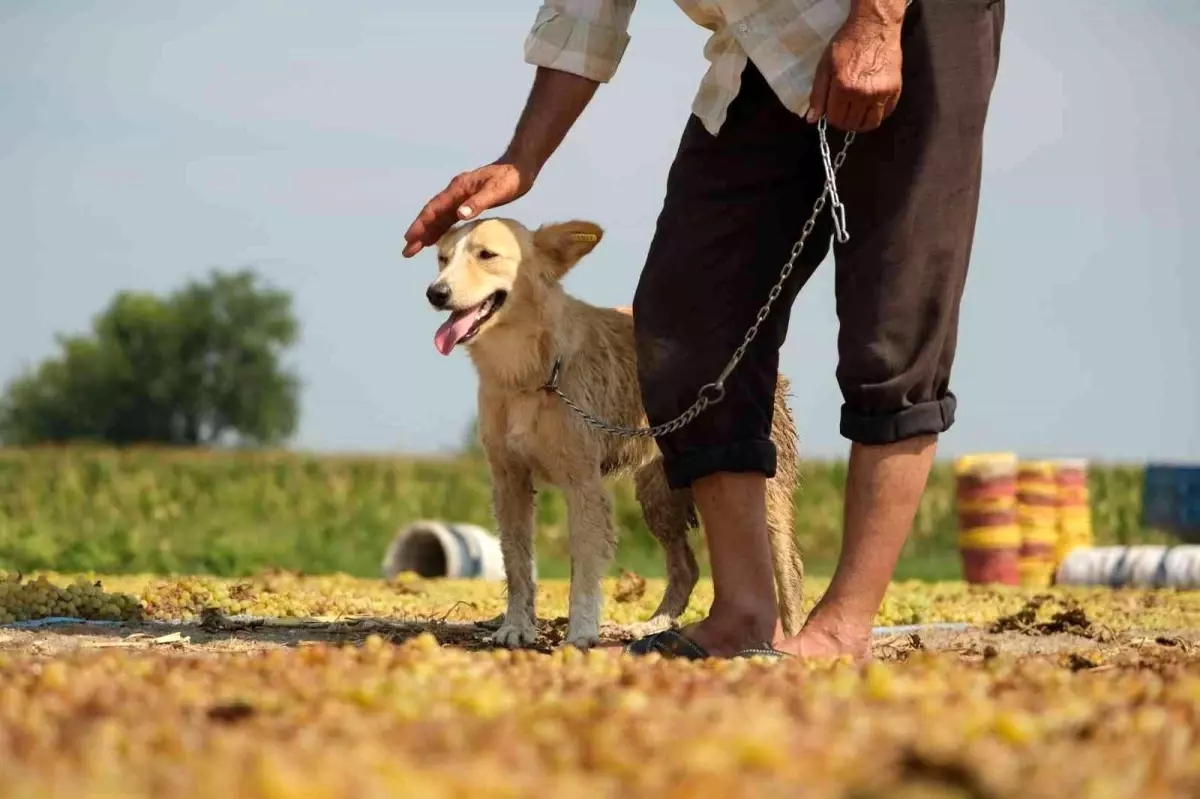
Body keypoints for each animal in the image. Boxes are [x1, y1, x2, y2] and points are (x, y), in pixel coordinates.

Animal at [427, 215, 801, 647]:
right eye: (442, 258)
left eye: (486, 254)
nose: (435, 293)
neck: (529, 372)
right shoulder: (509, 480)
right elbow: (518, 564)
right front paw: (516, 627)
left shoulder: (583, 484)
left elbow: (584, 570)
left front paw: (580, 633)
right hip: (659, 497)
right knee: (686, 567)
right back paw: (652, 626)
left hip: (765, 493)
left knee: (788, 568)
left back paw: (793, 639)